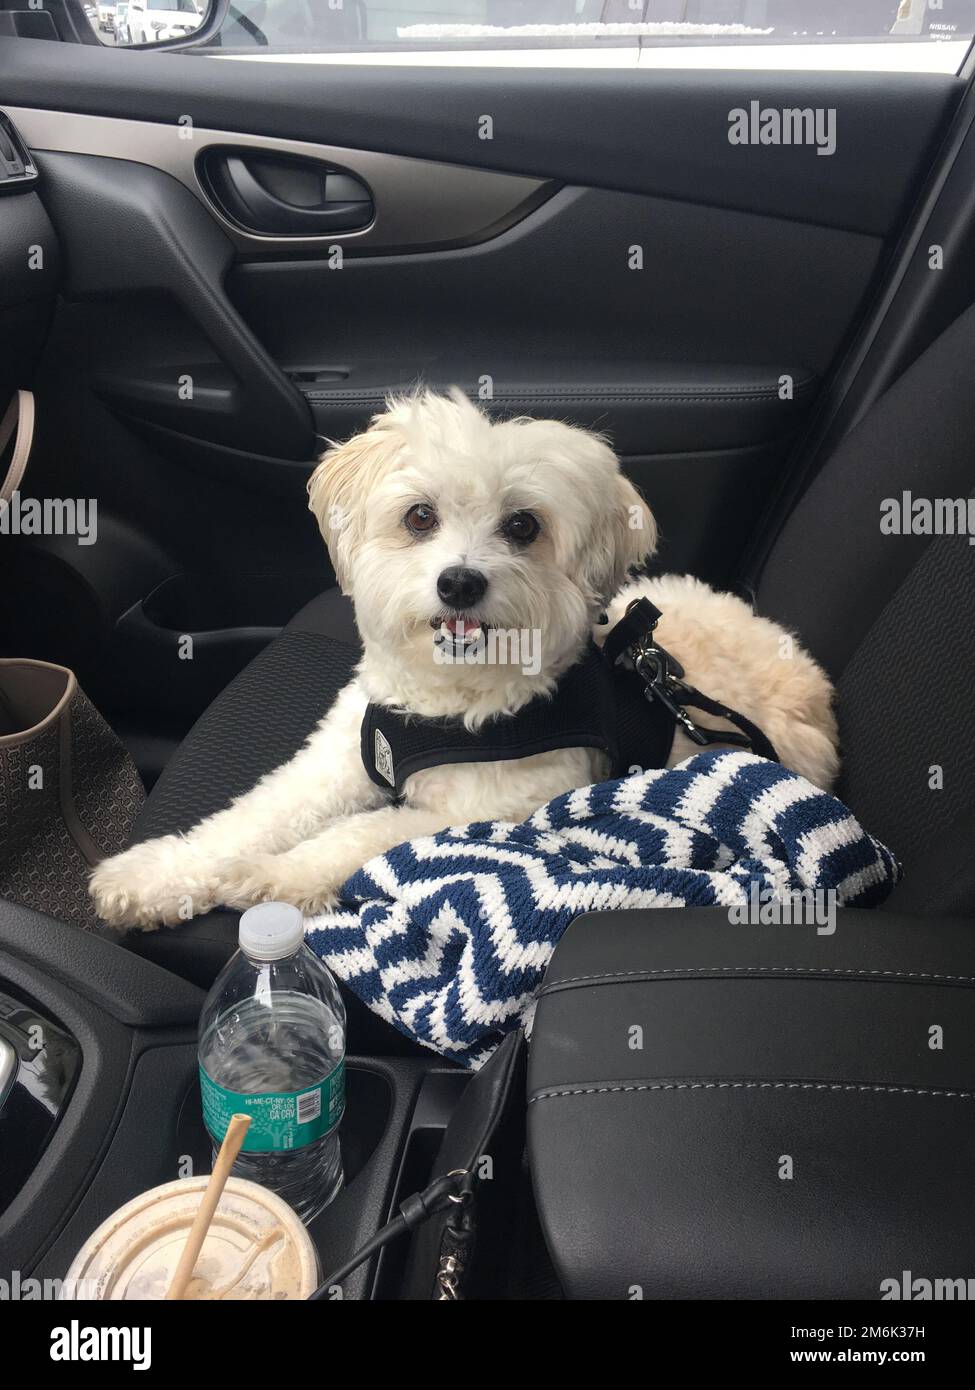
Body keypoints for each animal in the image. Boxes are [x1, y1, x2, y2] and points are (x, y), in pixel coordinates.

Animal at [91, 391, 834, 928]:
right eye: (420, 516)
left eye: (523, 526)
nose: (459, 583)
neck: (440, 702)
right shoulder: (336, 761)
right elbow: (253, 817)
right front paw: (154, 877)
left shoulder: (482, 813)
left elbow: (357, 837)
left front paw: (274, 877)